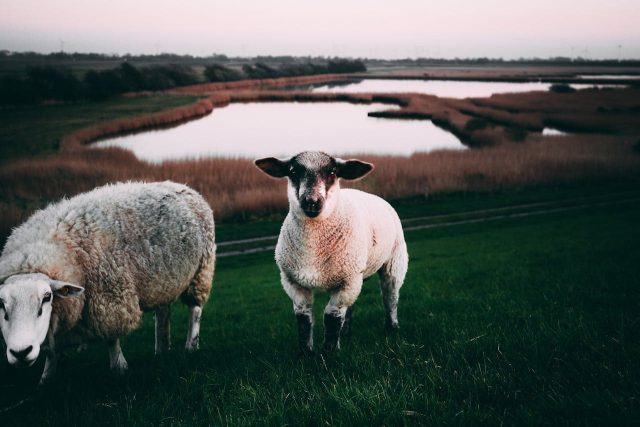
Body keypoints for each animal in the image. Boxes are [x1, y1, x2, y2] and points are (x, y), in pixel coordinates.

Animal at [0, 181, 215, 383]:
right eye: (1, 305)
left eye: (46, 298)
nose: (21, 352)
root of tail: (182, 186)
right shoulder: (62, 315)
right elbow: (53, 350)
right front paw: (46, 379)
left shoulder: (109, 298)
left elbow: (112, 338)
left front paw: (119, 367)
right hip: (164, 281)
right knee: (163, 312)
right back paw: (161, 349)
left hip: (201, 271)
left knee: (195, 310)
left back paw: (191, 346)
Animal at [254, 151, 408, 353]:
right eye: (293, 171)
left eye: (333, 172)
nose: (311, 202)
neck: (312, 250)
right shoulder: (292, 281)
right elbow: (303, 317)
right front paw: (306, 353)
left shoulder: (347, 282)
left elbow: (332, 316)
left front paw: (329, 353)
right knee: (352, 307)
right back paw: (346, 333)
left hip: (394, 261)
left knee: (390, 296)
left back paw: (392, 328)